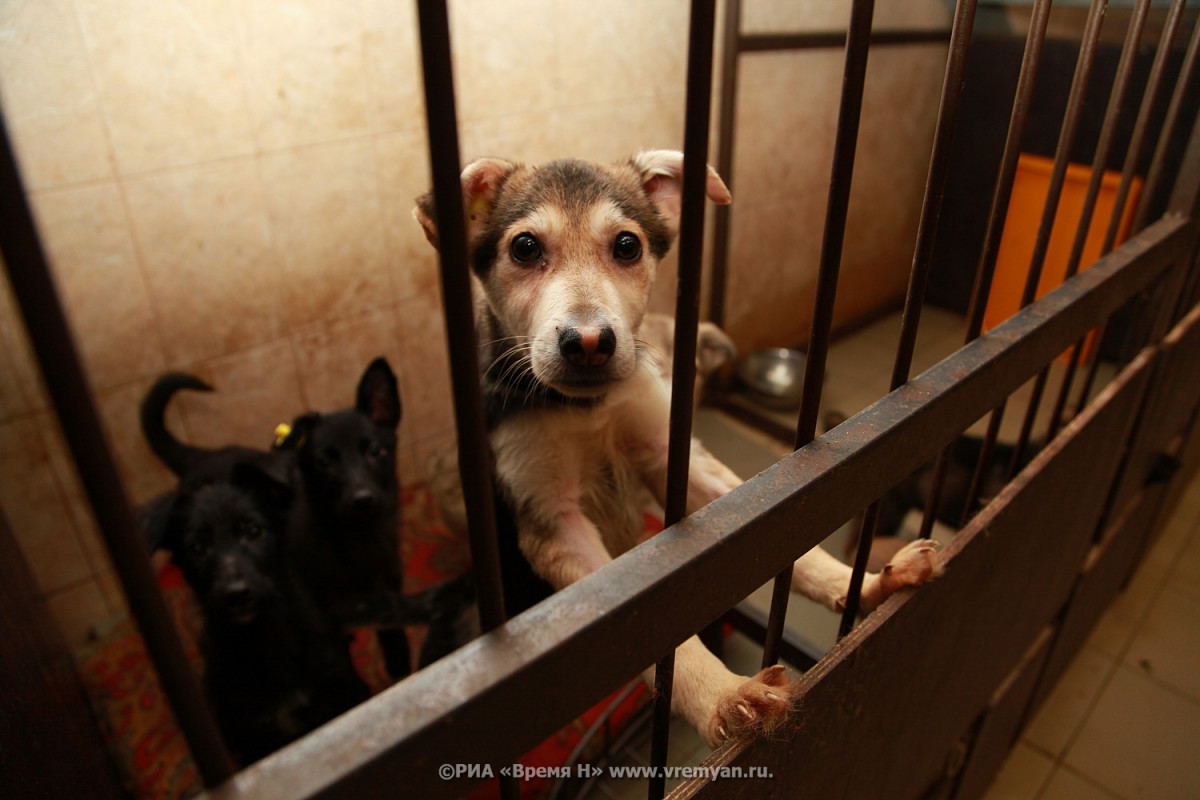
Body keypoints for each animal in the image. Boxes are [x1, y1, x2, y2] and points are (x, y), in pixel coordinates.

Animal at [149, 465, 367, 767]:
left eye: (253, 531)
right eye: (196, 548)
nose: (237, 594)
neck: (262, 634)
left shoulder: (345, 692)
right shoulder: (252, 737)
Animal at [417, 151, 940, 753]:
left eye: (627, 246)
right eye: (524, 248)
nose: (589, 343)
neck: (584, 408)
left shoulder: (671, 455)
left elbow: (785, 527)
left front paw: (868, 584)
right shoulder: (552, 518)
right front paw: (723, 695)